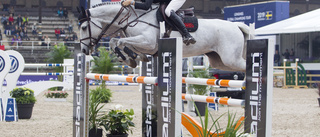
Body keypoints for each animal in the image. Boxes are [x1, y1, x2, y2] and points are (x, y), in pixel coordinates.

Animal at [78, 1, 252, 71]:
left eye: (84, 27)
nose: (84, 50)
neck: (134, 18)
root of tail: (236, 25)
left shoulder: (148, 42)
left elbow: (118, 41)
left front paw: (128, 58)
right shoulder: (144, 44)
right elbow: (119, 42)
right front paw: (133, 58)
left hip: (231, 59)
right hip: (219, 61)